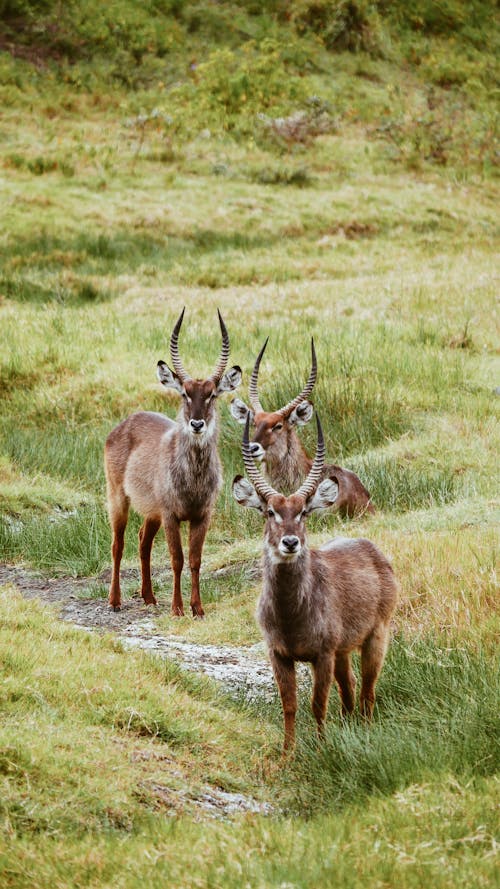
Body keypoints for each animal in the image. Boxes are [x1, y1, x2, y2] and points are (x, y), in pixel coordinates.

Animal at [104, 308, 241, 612]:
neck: (193, 482)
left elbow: (195, 560)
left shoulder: (202, 515)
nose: (197, 424)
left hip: (151, 511)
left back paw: (149, 596)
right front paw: (177, 608)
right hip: (118, 496)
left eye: (211, 394)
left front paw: (197, 608)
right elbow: (177, 559)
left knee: (142, 541)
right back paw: (115, 600)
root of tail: (126, 422)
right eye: (185, 393)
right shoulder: (170, 514)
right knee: (118, 545)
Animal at [231, 414, 398, 748]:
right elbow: (290, 705)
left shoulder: (322, 655)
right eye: (270, 511)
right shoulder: (279, 654)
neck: (290, 615)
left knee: (368, 688)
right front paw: (288, 754)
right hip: (344, 650)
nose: (290, 542)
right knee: (350, 685)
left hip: (376, 634)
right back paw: (349, 728)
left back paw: (365, 730)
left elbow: (318, 704)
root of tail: (371, 548)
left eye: (304, 512)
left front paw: (321, 749)